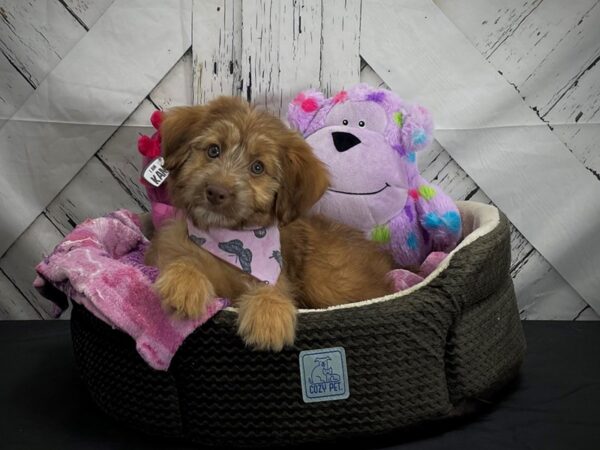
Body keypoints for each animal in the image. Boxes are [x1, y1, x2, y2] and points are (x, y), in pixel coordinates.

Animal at [145, 96, 394, 352]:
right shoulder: (164, 248)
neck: (227, 235)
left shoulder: (276, 273)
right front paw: (185, 282)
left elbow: (271, 287)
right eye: (213, 150)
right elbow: (182, 258)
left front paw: (269, 312)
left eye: (258, 167)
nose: (216, 192)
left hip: (326, 279)